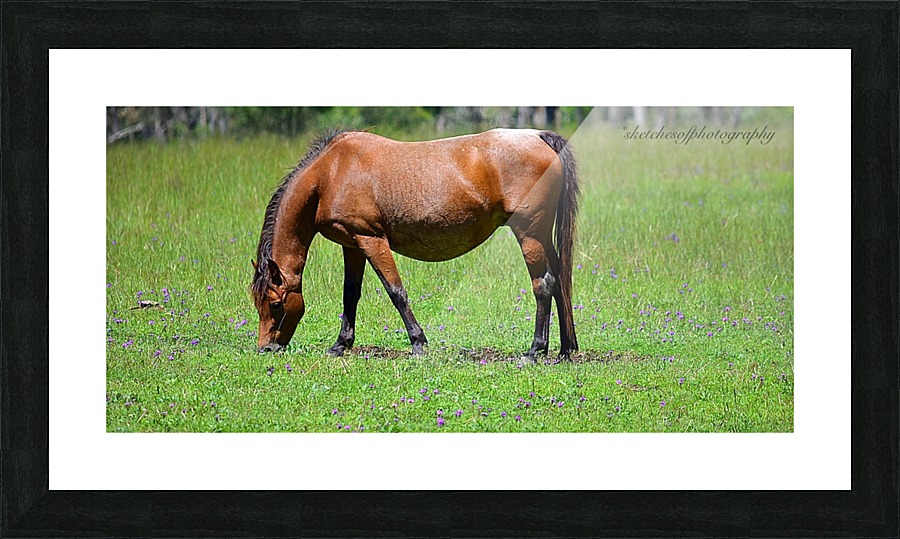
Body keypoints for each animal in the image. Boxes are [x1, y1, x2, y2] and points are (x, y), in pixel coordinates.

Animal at [250, 128, 580, 362]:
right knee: (560, 280)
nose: (265, 348)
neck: (330, 172)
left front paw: (418, 342)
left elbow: (396, 292)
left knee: (544, 284)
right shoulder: (353, 245)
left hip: (529, 234)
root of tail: (539, 136)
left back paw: (535, 350)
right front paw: (340, 344)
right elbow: (350, 296)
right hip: (541, 237)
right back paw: (565, 349)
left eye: (275, 303)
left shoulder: (371, 240)